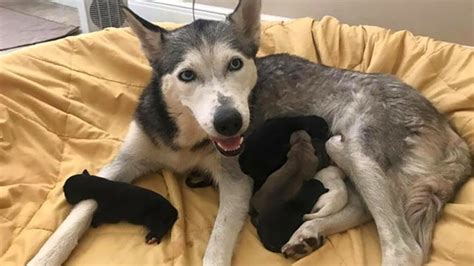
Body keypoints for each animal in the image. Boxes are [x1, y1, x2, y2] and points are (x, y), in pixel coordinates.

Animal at [28, 0, 470, 266]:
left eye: (236, 64)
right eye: (186, 75)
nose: (230, 122)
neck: (187, 138)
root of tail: (457, 141)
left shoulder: (237, 183)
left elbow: (216, 246)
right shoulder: (122, 164)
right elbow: (77, 213)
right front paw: (45, 255)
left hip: (356, 147)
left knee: (402, 246)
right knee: (363, 209)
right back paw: (308, 232)